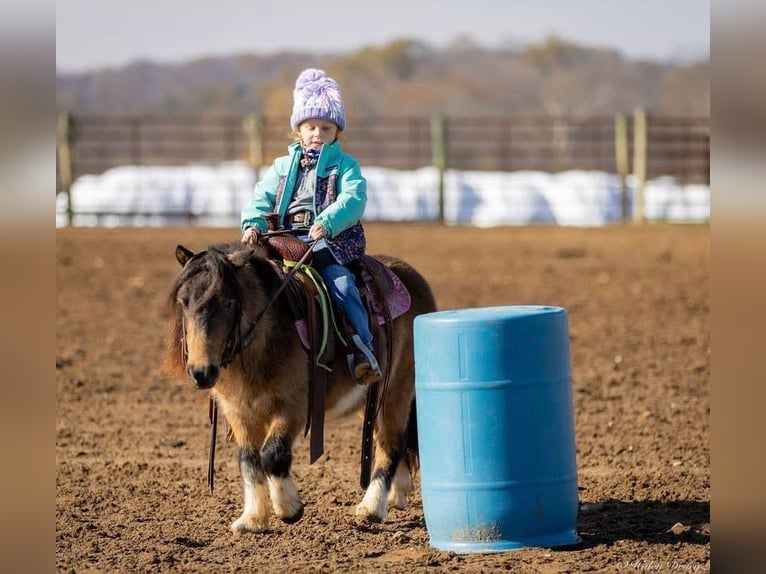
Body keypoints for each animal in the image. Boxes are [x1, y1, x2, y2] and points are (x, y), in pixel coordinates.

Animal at [166, 241, 438, 532]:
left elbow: (272, 454)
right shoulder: (238, 412)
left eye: (229, 302)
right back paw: (397, 493)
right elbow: (248, 461)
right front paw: (252, 519)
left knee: (391, 443)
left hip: (397, 391)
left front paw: (288, 509)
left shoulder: (293, 406)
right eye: (183, 303)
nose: (201, 372)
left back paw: (372, 507)